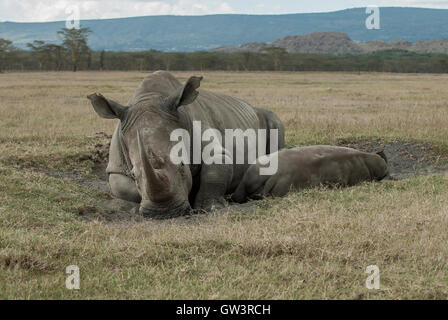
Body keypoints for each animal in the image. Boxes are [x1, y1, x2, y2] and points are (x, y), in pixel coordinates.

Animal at [87, 70, 284, 218]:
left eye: (183, 165)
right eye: (134, 174)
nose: (163, 213)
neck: (150, 97)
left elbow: (214, 169)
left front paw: (210, 208)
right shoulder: (116, 167)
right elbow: (124, 189)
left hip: (266, 117)